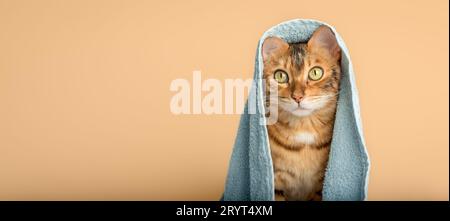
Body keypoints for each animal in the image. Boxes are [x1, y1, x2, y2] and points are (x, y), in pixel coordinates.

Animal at [260, 25, 342, 200]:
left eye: (315, 73)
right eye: (280, 75)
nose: (297, 97)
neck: (304, 129)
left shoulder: (320, 184)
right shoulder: (275, 182)